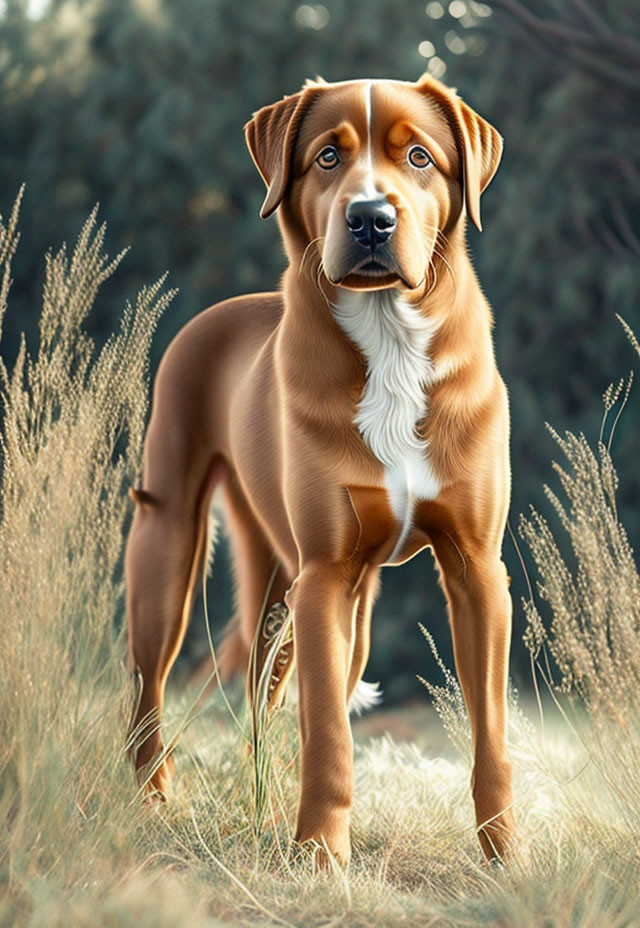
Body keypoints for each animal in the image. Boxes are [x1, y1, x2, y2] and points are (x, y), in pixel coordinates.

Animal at [124, 76, 516, 868]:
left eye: (420, 156)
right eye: (328, 156)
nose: (369, 219)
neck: (389, 335)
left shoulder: (476, 569)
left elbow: (490, 733)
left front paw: (506, 858)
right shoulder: (325, 576)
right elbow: (329, 732)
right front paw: (319, 857)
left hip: (314, 595)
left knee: (262, 694)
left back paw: (263, 805)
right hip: (171, 544)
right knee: (150, 684)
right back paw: (152, 796)